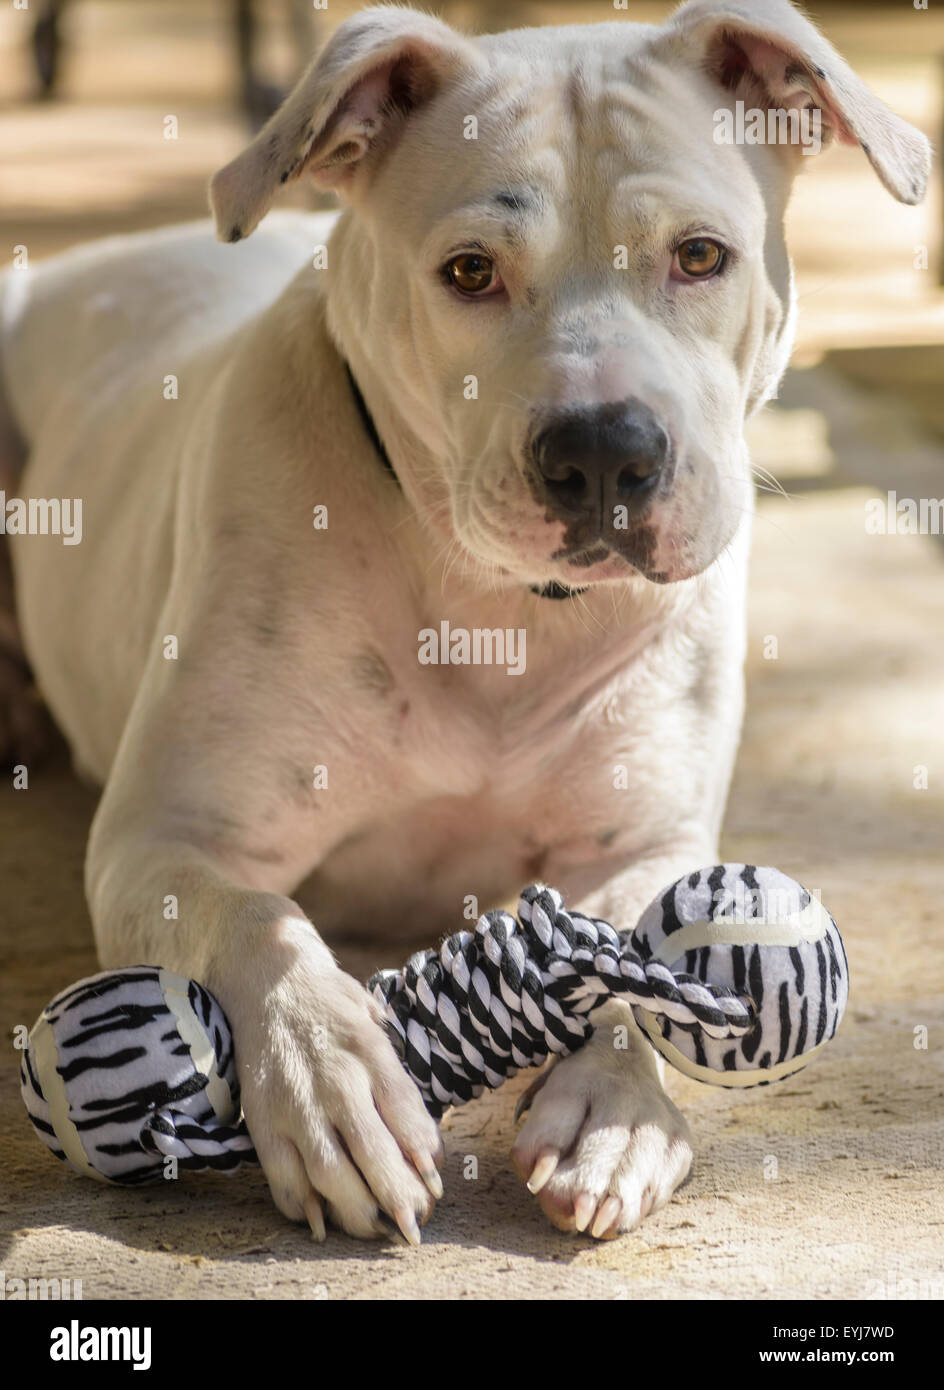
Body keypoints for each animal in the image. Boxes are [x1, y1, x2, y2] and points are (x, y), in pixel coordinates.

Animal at [0, 0, 928, 1239]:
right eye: (469, 271)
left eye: (699, 255)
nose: (602, 453)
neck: (496, 611)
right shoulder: (165, 837)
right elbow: (253, 919)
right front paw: (330, 1078)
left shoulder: (640, 840)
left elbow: (632, 957)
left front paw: (614, 1104)